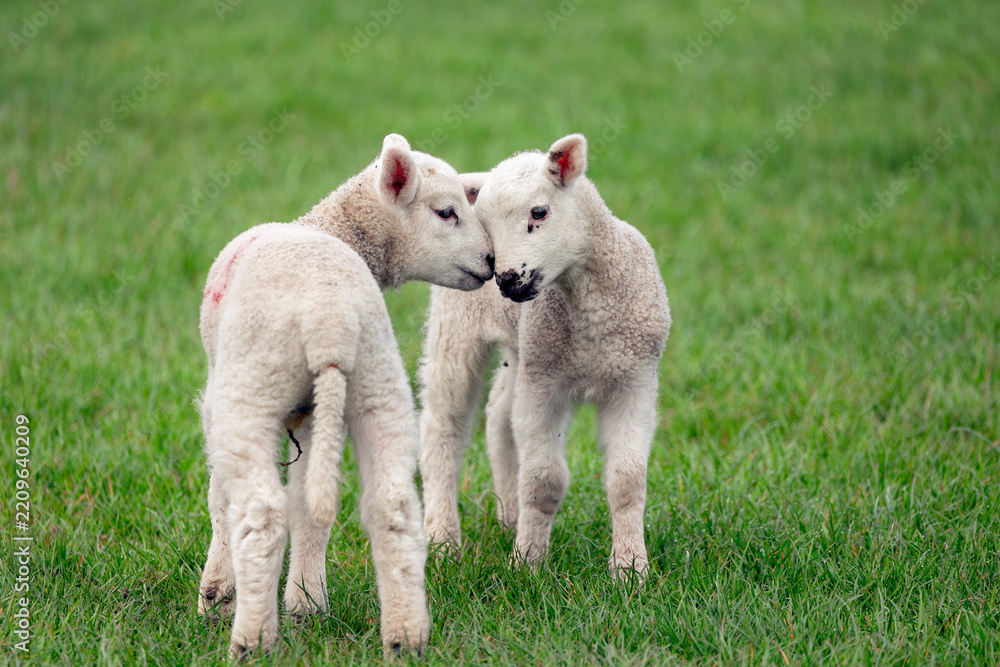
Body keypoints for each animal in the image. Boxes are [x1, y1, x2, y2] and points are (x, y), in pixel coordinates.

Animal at [196, 133, 494, 657]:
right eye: (446, 212)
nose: (493, 262)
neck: (331, 228)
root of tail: (328, 319)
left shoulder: (218, 398)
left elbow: (221, 496)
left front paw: (217, 591)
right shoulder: (315, 416)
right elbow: (308, 510)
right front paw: (306, 600)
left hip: (253, 387)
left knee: (261, 512)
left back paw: (251, 639)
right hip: (378, 381)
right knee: (392, 508)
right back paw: (404, 637)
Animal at [418, 133, 671, 579]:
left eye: (540, 211)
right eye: (485, 226)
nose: (506, 280)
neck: (591, 318)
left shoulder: (635, 381)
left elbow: (627, 481)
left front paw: (630, 569)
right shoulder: (544, 385)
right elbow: (544, 480)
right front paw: (528, 564)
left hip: (524, 350)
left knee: (499, 416)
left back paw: (509, 517)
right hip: (458, 329)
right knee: (442, 430)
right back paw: (444, 540)